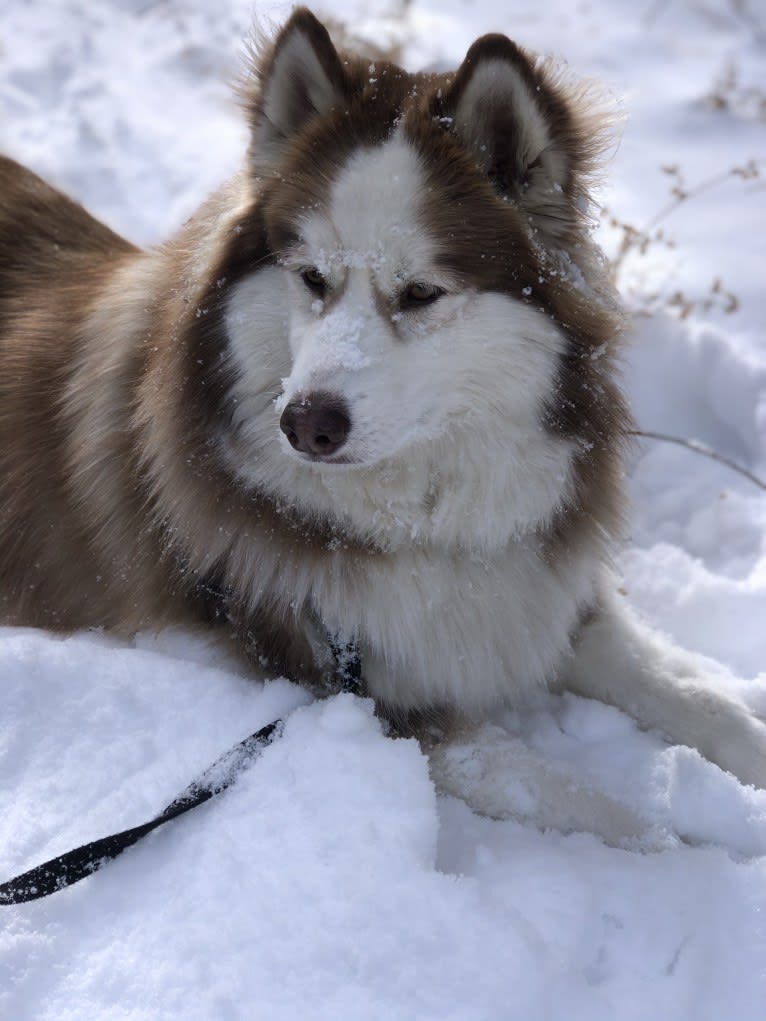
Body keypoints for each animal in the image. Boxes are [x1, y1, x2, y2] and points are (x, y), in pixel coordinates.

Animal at [1, 5, 766, 829]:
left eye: (421, 292)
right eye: (311, 278)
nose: (306, 424)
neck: (417, 523)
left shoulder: (540, 588)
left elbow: (702, 699)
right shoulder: (363, 693)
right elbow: (599, 812)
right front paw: (683, 835)